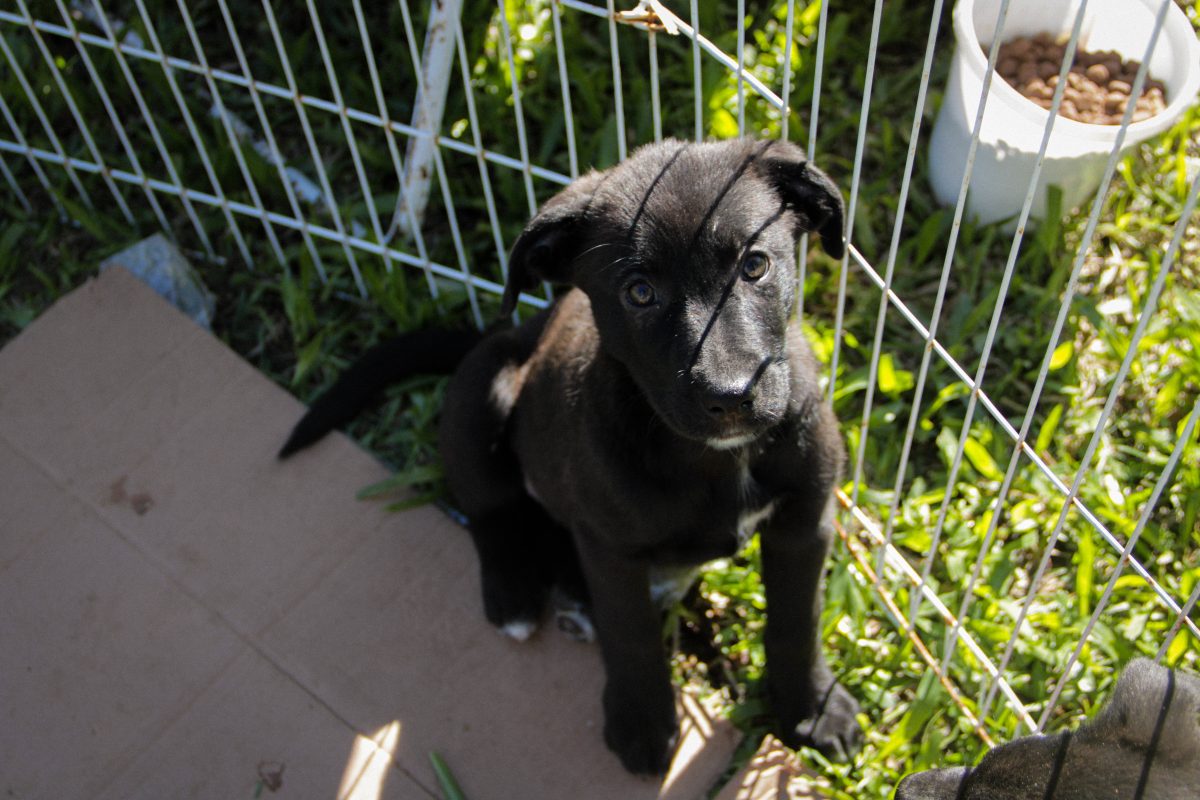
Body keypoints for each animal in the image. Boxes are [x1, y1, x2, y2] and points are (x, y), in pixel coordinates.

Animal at [280, 137, 864, 777]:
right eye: (639, 292)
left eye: (755, 265)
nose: (730, 395)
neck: (715, 457)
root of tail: (508, 331)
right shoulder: (610, 547)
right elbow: (630, 634)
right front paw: (641, 723)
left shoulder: (804, 521)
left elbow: (797, 621)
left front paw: (813, 709)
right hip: (483, 389)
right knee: (490, 510)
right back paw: (514, 592)